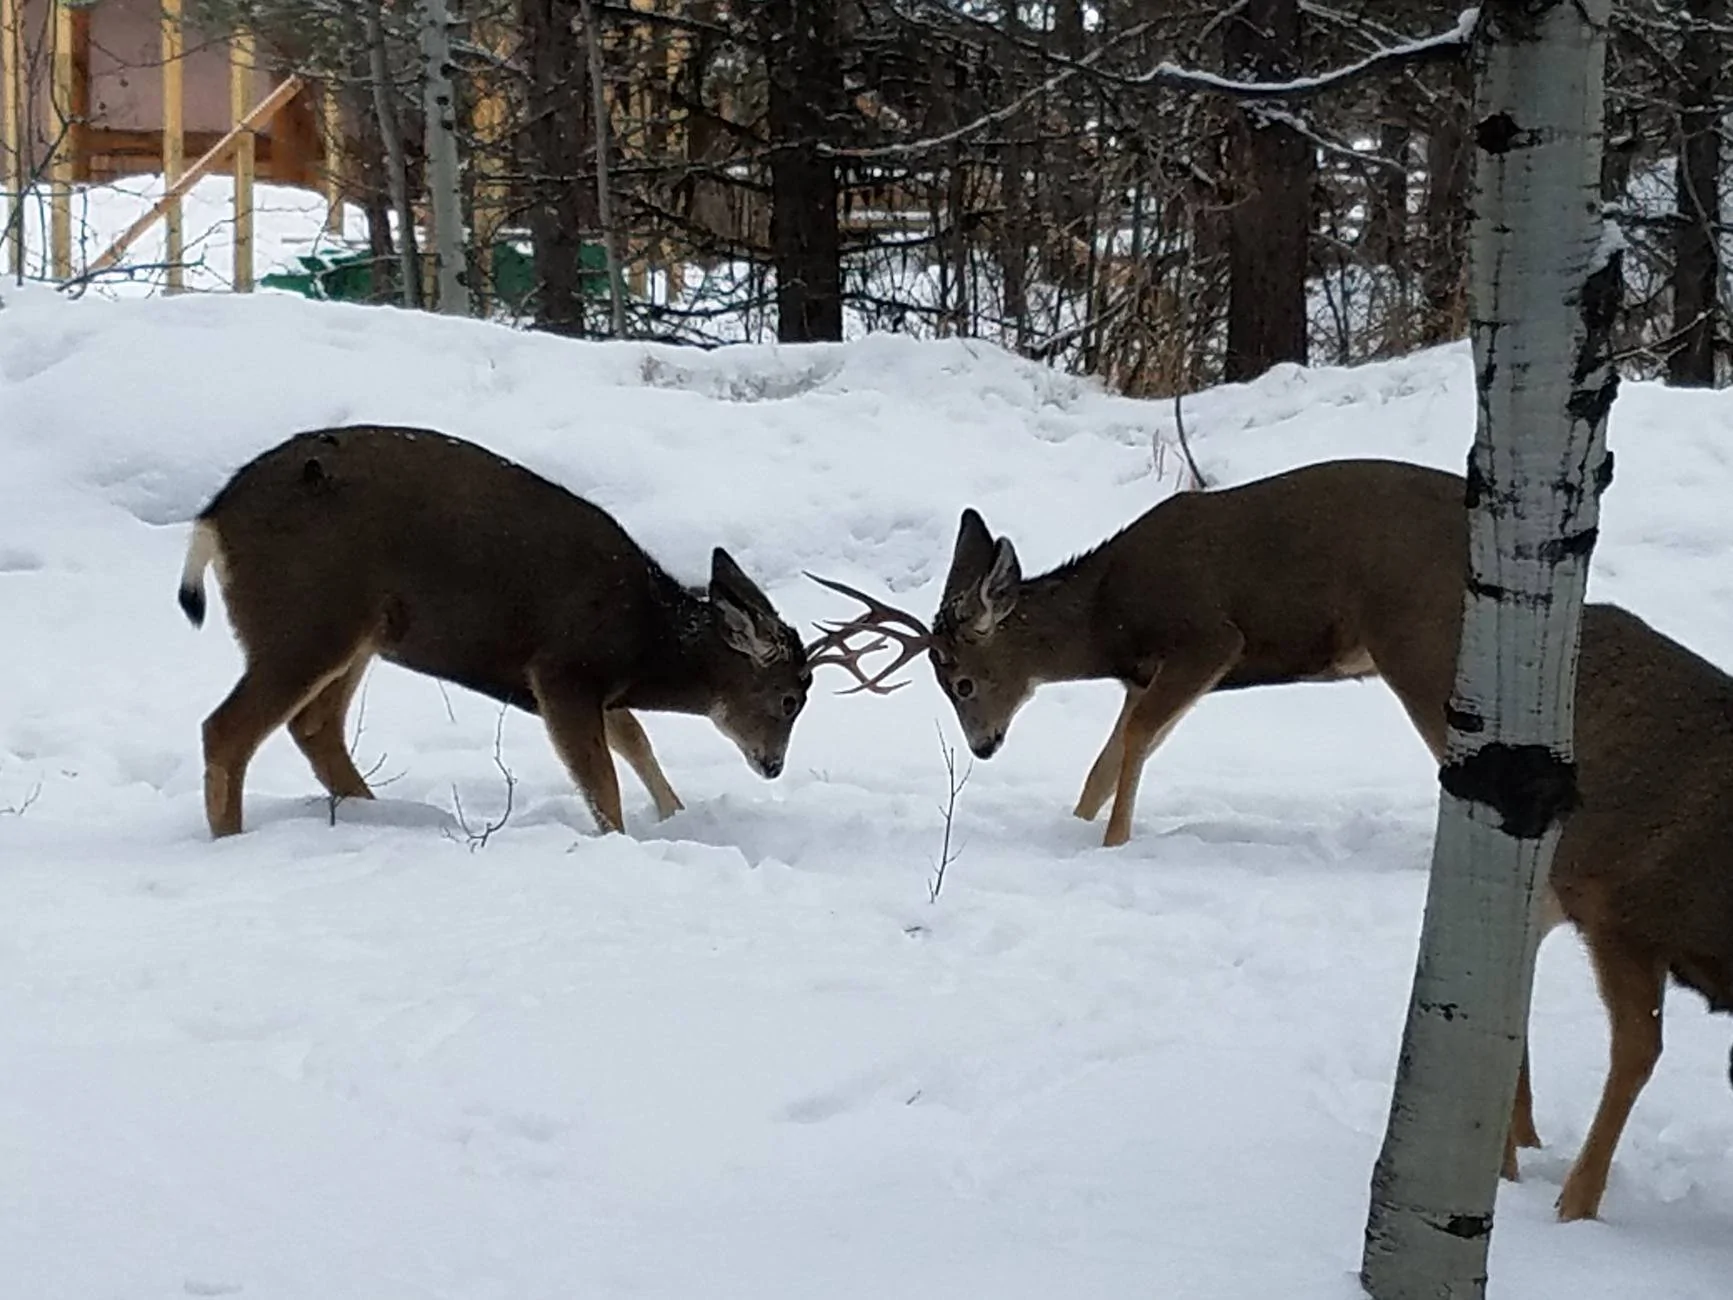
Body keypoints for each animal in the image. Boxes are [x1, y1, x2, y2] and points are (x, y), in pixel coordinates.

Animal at [177, 425, 879, 840]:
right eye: (790, 699)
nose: (773, 765)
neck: (645, 637)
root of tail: (212, 519)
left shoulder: (595, 686)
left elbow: (634, 739)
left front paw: (676, 813)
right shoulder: (564, 668)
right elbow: (600, 779)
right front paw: (622, 839)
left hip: (358, 634)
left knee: (312, 724)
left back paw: (374, 814)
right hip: (306, 617)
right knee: (226, 728)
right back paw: (232, 838)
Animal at [809, 456, 1733, 1223]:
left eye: (963, 682)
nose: (983, 749)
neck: (1108, 616)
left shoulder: (1206, 634)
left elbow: (1132, 746)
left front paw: (1112, 848)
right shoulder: (1160, 664)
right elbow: (1109, 758)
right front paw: (1077, 832)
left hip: (1419, 643)